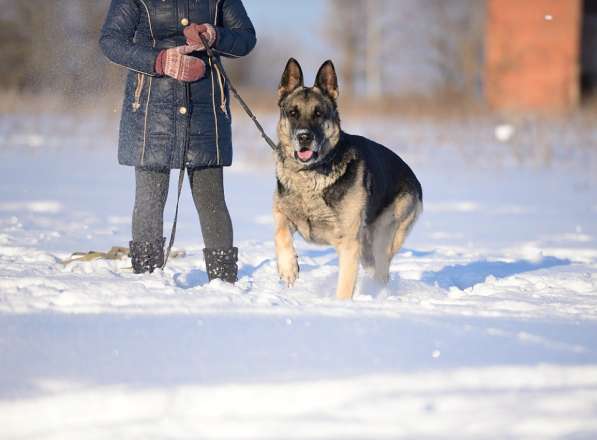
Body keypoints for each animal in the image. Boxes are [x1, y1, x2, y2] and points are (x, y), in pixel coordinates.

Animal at [272, 59, 422, 300]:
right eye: (293, 112)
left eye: (318, 114)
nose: (304, 137)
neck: (310, 176)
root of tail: (414, 178)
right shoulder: (282, 213)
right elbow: (280, 233)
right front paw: (288, 268)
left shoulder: (349, 244)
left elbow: (344, 287)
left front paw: (341, 306)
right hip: (367, 250)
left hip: (381, 240)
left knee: (381, 272)